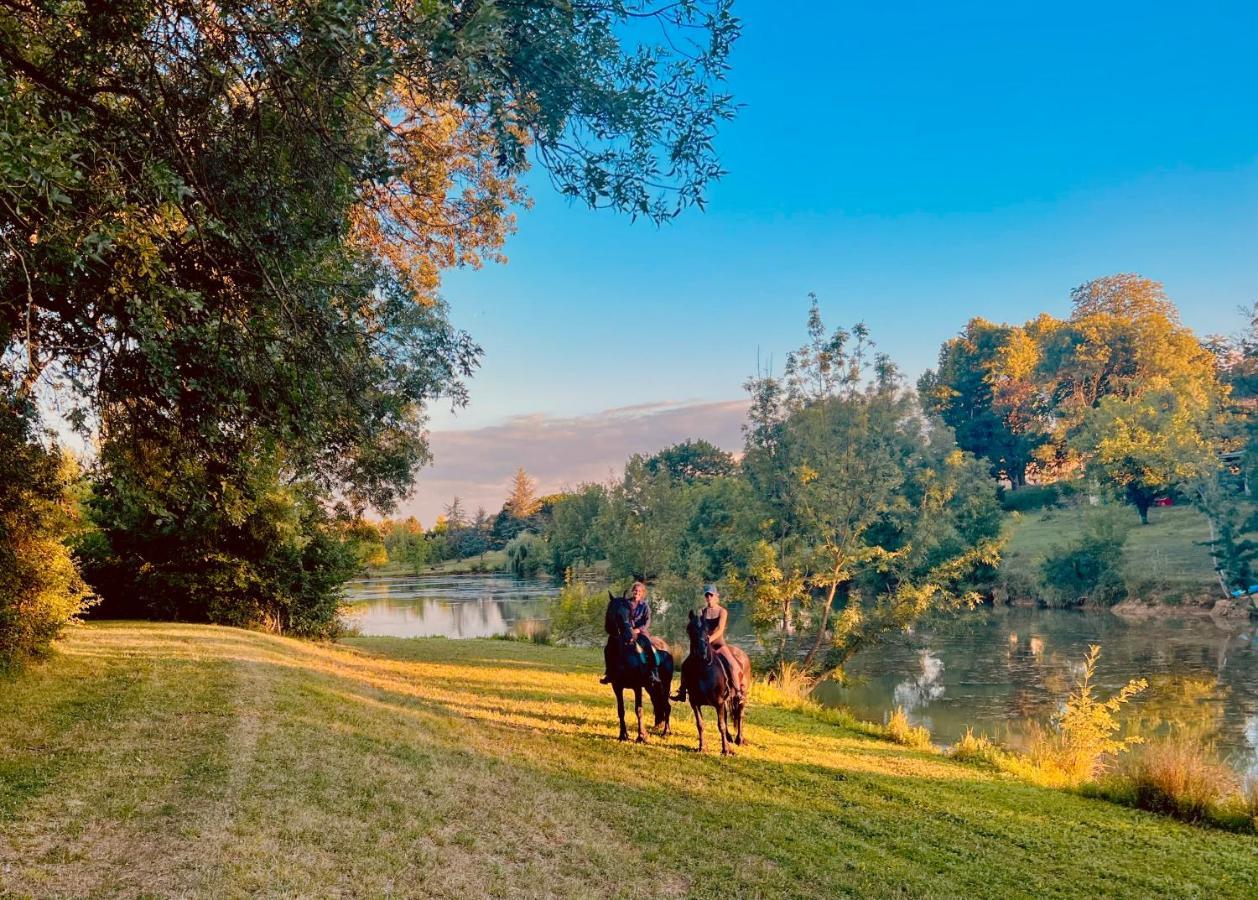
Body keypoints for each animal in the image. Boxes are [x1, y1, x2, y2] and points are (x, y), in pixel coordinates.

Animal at [603, 594, 674, 745]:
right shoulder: (617, 686)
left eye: (629, 613)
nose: (629, 636)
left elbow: (638, 710)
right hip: (651, 686)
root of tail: (666, 647)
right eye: (614, 612)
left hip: (665, 684)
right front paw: (623, 735)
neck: (623, 652)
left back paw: (666, 732)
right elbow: (621, 710)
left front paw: (641, 736)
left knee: (666, 705)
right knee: (658, 703)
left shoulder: (637, 686)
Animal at [679, 611, 744, 755]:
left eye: (707, 630)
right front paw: (702, 747)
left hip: (741, 697)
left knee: (740, 715)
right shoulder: (695, 702)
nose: (701, 652)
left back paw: (740, 739)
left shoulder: (718, 702)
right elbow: (700, 724)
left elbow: (721, 725)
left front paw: (725, 750)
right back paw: (730, 739)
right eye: (689, 629)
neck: (702, 669)